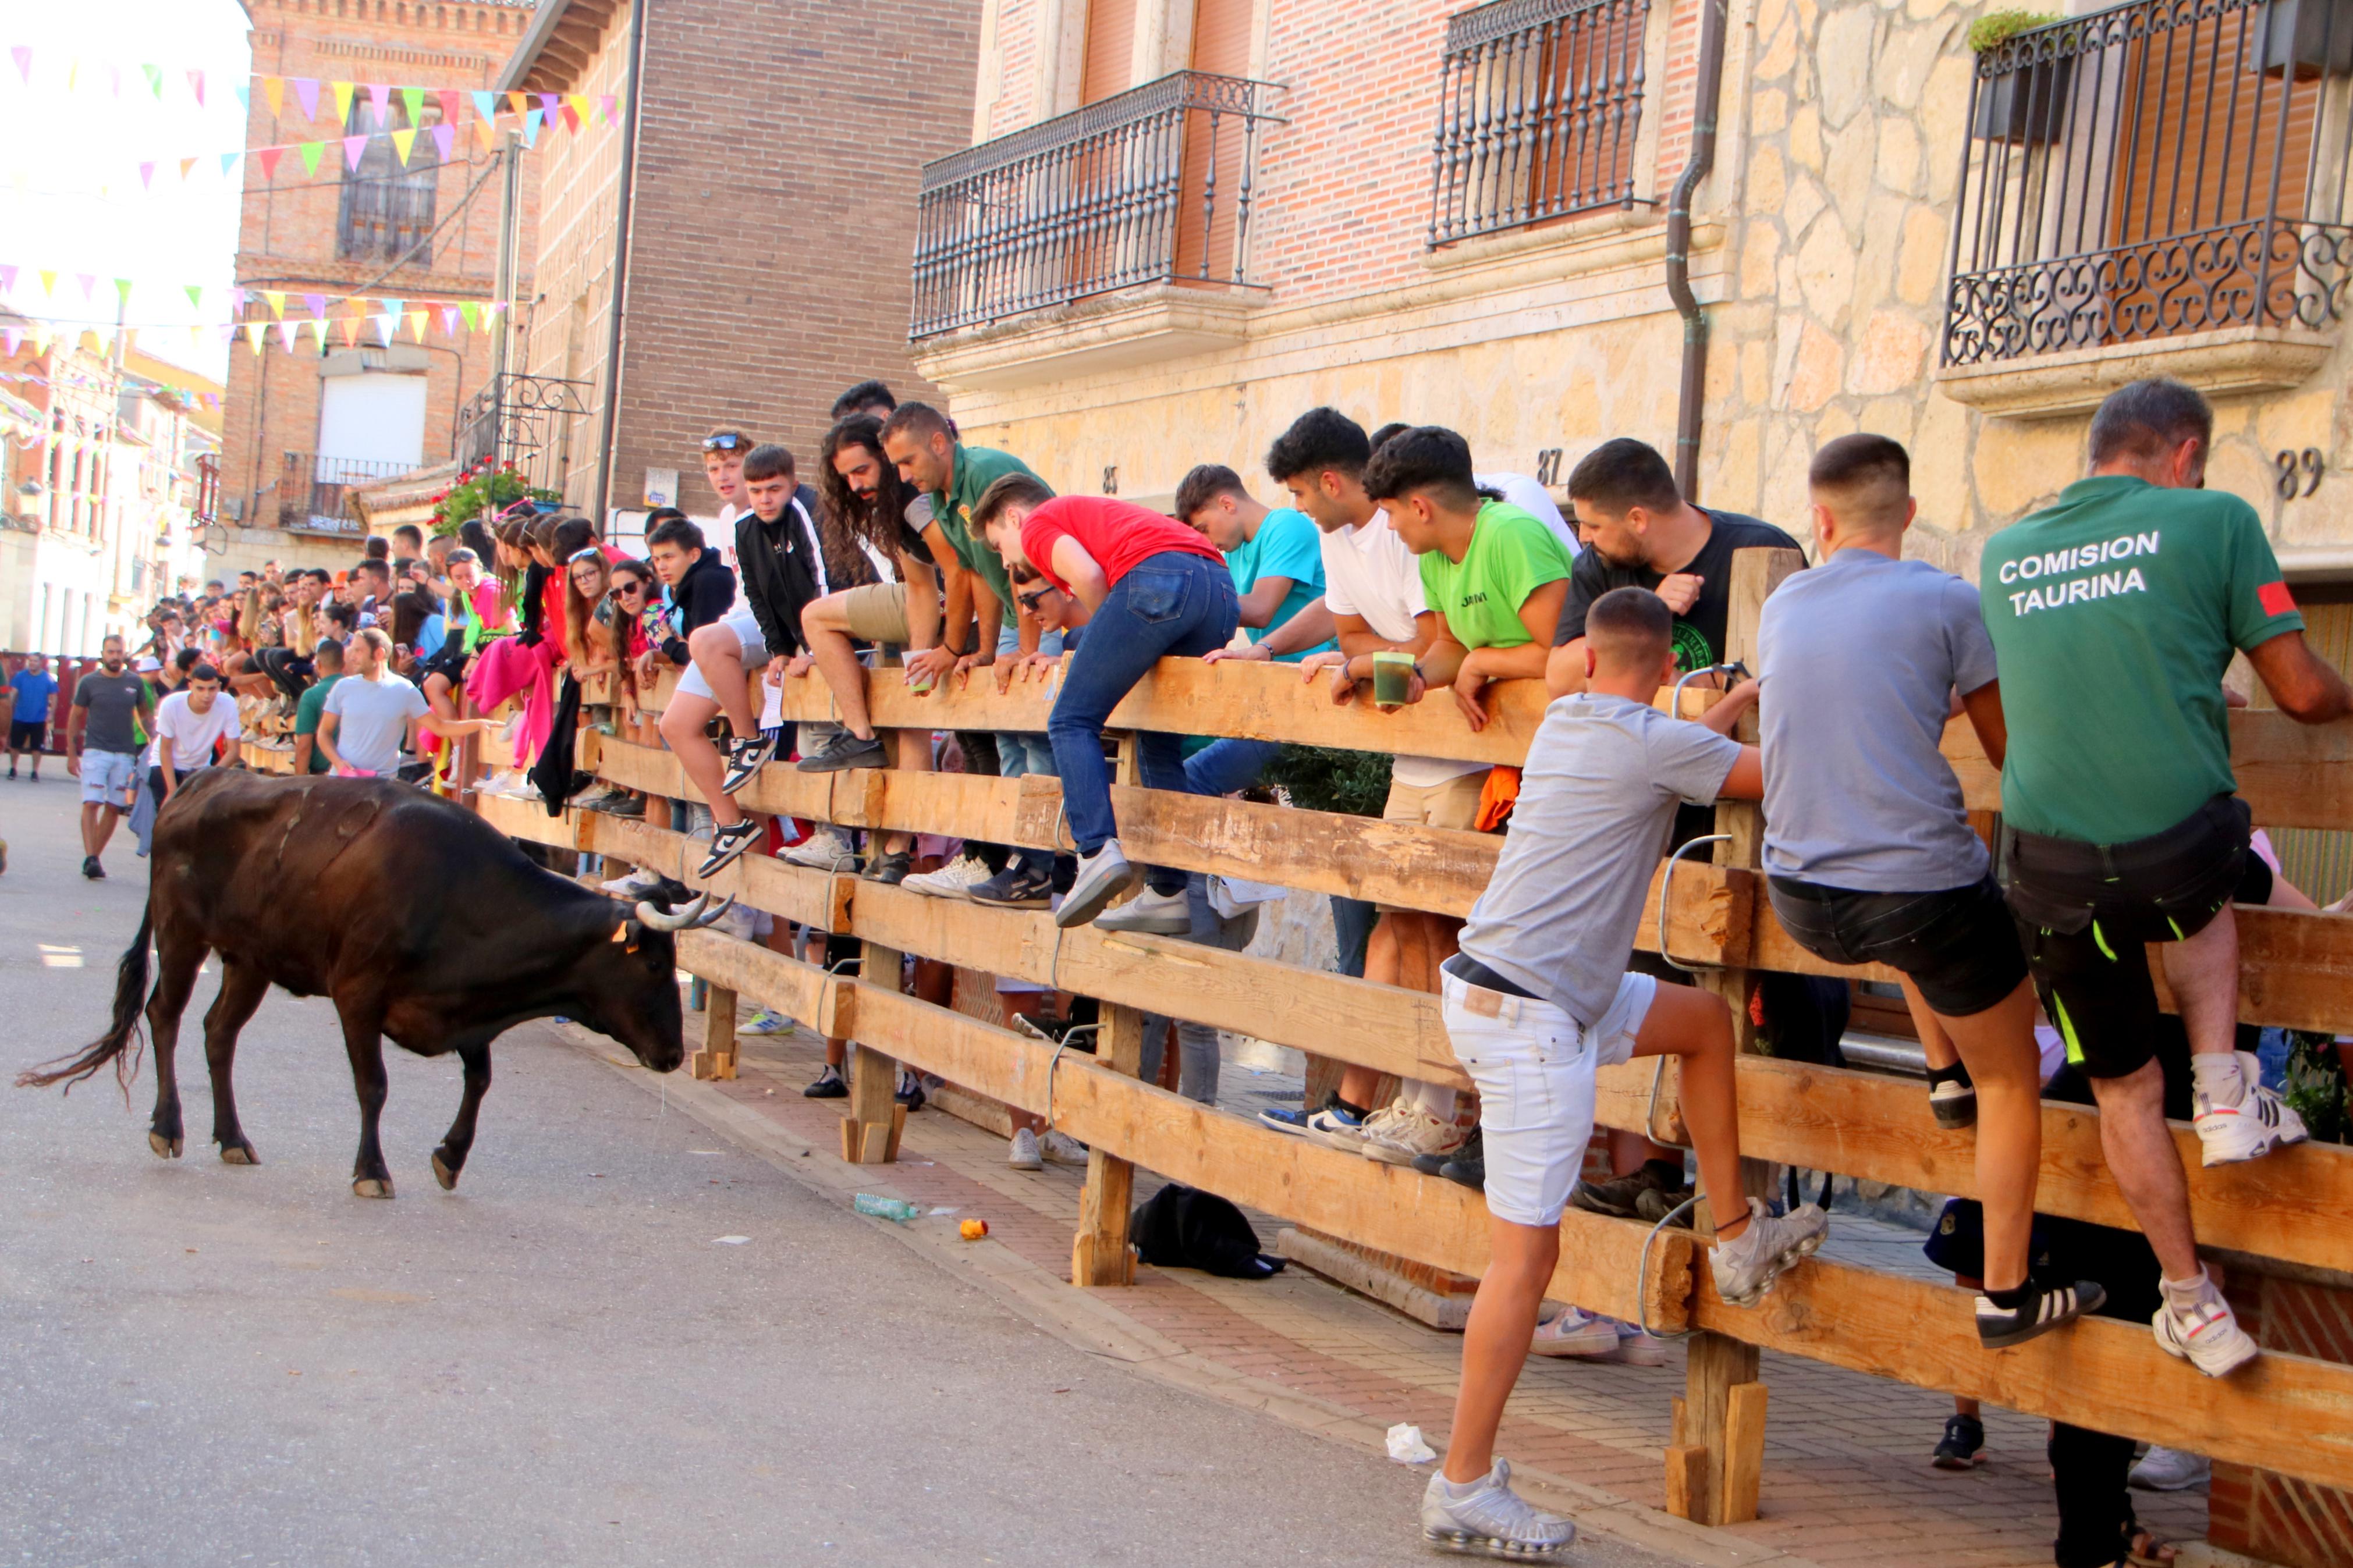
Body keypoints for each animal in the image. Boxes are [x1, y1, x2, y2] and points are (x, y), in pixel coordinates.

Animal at [18, 766, 729, 1194]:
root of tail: (205, 775)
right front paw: (372, 1170)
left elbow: (480, 1079)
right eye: (653, 963)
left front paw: (450, 1156)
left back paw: (234, 1138)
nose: (674, 1053)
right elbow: (374, 1085)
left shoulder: (466, 1007)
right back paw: (169, 1128)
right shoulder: (357, 995)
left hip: (251, 959)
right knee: (163, 1016)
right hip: (182, 935)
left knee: (219, 1034)